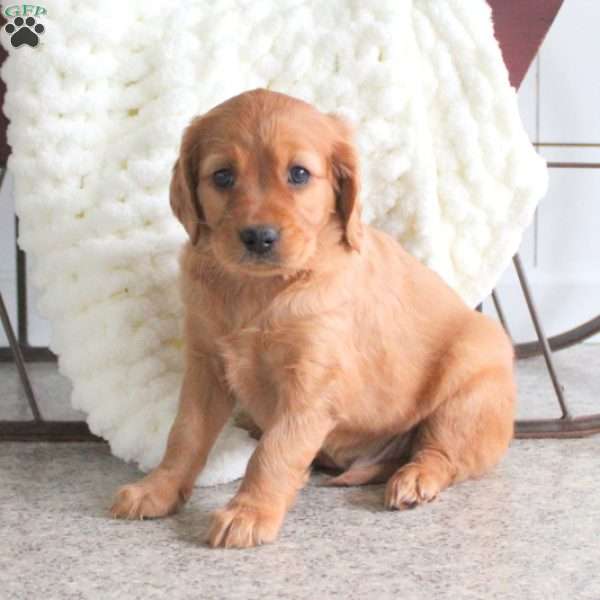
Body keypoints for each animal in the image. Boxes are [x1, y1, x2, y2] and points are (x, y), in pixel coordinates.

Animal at [112, 88, 516, 548]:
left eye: (299, 174)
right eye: (223, 176)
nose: (259, 237)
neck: (259, 290)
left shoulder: (310, 382)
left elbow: (275, 452)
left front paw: (249, 512)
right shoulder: (205, 367)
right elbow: (185, 434)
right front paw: (158, 489)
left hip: (471, 388)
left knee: (442, 452)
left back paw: (414, 478)